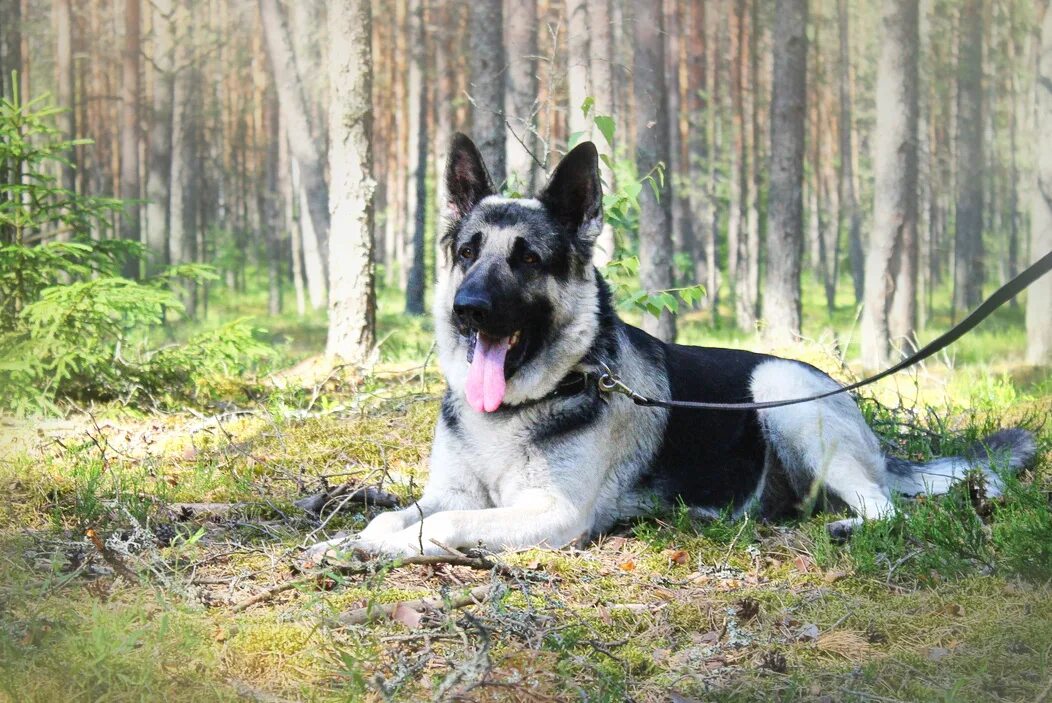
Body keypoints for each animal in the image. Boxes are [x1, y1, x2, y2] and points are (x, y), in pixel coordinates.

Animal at [307, 134, 1035, 555]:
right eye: (467, 253)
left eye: (527, 260)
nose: (469, 311)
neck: (520, 407)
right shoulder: (453, 492)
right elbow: (392, 518)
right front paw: (354, 539)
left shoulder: (552, 514)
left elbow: (443, 526)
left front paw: (397, 544)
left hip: (782, 392)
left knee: (886, 508)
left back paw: (851, 525)